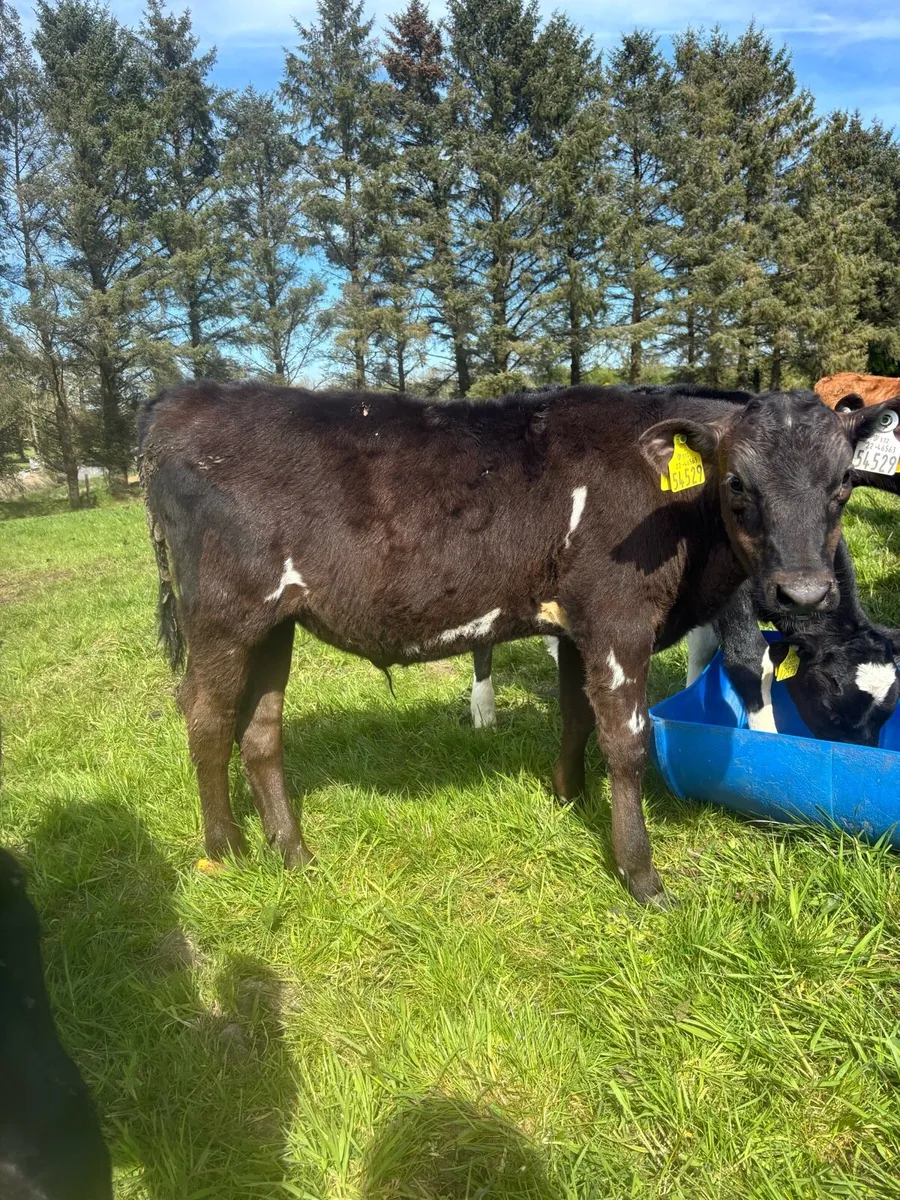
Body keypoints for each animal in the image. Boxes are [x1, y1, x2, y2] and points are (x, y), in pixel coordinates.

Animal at [139, 380, 897, 905]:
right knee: (206, 719)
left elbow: (576, 717)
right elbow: (626, 743)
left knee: (260, 731)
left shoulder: (577, 623)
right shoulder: (619, 618)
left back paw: (293, 852)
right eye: (737, 482)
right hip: (222, 616)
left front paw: (569, 799)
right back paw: (226, 847)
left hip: (275, 624)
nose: (805, 593)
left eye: (844, 483)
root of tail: (183, 396)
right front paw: (641, 874)